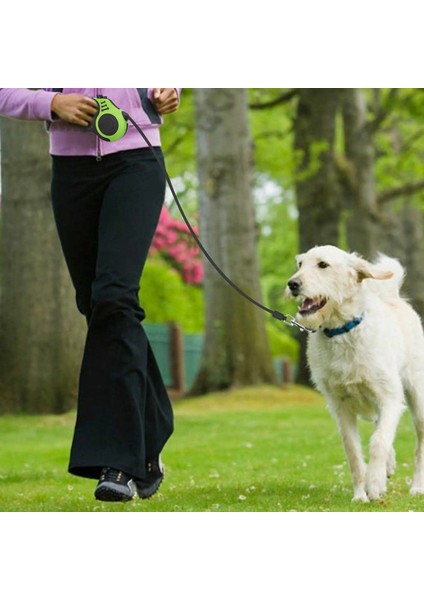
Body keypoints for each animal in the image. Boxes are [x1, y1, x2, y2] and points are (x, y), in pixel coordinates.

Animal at [284, 244, 424, 502]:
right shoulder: (341, 408)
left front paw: (375, 483)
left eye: (323, 264)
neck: (342, 332)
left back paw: (417, 487)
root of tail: (393, 298)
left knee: (418, 445)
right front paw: (360, 494)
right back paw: (389, 465)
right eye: (300, 264)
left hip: (418, 401)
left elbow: (378, 442)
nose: (292, 284)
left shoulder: (389, 399)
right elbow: (353, 453)